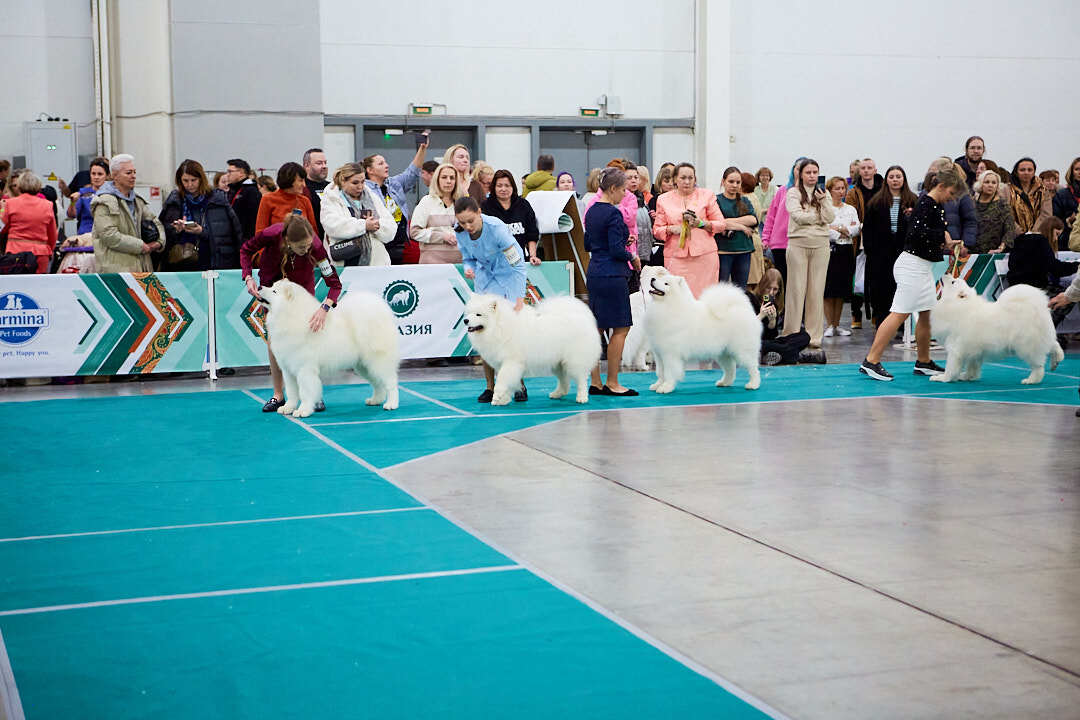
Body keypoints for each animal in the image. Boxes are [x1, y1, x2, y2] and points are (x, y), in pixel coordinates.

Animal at [258, 280, 401, 416]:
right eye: (271, 286)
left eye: (274, 291)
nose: (259, 287)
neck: (289, 316)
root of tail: (381, 309)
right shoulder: (288, 370)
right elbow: (291, 392)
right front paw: (288, 408)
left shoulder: (304, 370)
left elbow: (305, 392)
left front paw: (303, 410)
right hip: (364, 366)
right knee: (377, 383)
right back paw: (375, 400)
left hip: (377, 361)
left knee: (391, 382)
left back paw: (391, 404)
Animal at [462, 293, 604, 405]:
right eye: (469, 313)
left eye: (478, 314)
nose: (465, 320)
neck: (499, 328)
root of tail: (582, 317)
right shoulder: (502, 364)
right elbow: (508, 382)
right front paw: (504, 400)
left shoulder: (510, 363)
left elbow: (502, 381)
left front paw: (497, 397)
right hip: (557, 363)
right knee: (564, 381)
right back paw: (557, 394)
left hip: (574, 361)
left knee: (581, 379)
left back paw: (582, 398)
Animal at [928, 274, 1062, 382]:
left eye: (953, 282)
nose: (946, 274)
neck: (957, 304)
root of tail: (1037, 307)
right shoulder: (973, 350)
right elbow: (972, 366)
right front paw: (968, 376)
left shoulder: (955, 348)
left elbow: (950, 367)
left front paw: (943, 378)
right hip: (1041, 338)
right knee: (1054, 345)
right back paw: (1057, 360)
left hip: (1026, 346)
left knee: (1038, 366)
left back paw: (1032, 380)